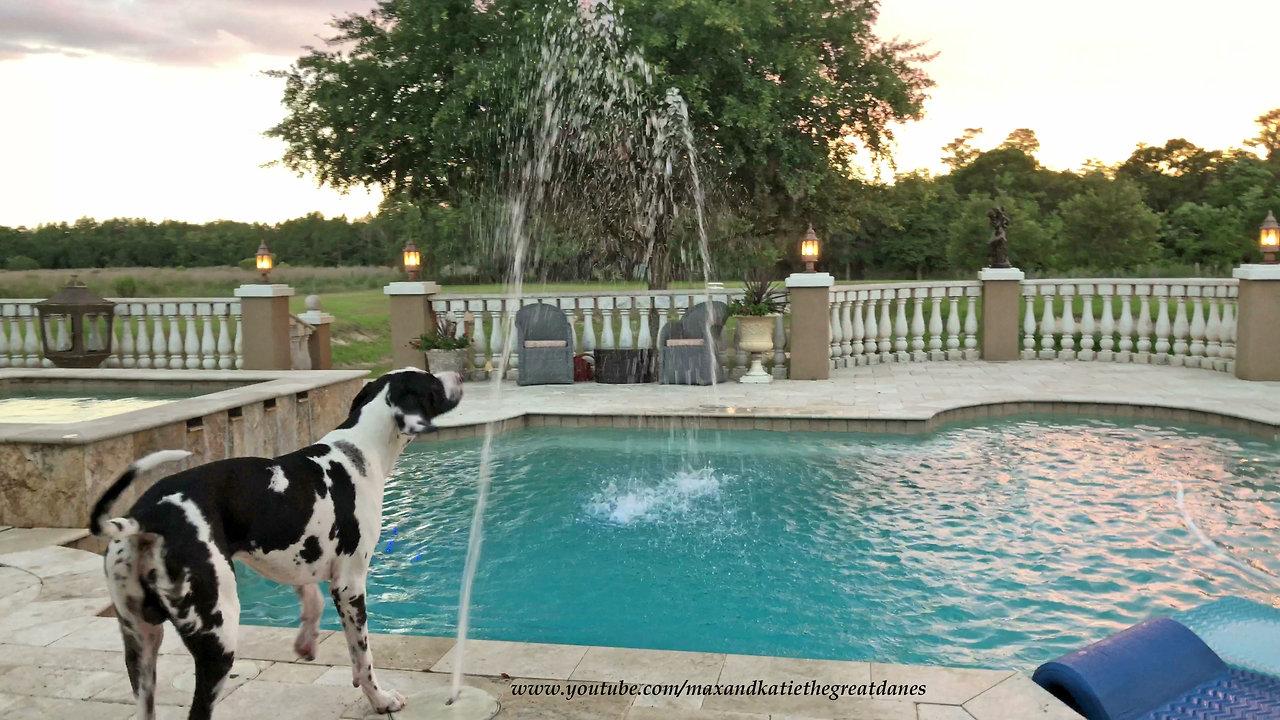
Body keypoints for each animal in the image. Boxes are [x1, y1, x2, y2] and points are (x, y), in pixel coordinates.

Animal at [93, 368, 465, 717]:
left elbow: (312, 601)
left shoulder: (297, 561)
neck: (359, 449)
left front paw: (306, 641)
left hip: (142, 647)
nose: (458, 376)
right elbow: (363, 659)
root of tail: (145, 517)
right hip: (218, 637)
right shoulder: (350, 585)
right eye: (432, 383)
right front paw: (380, 700)